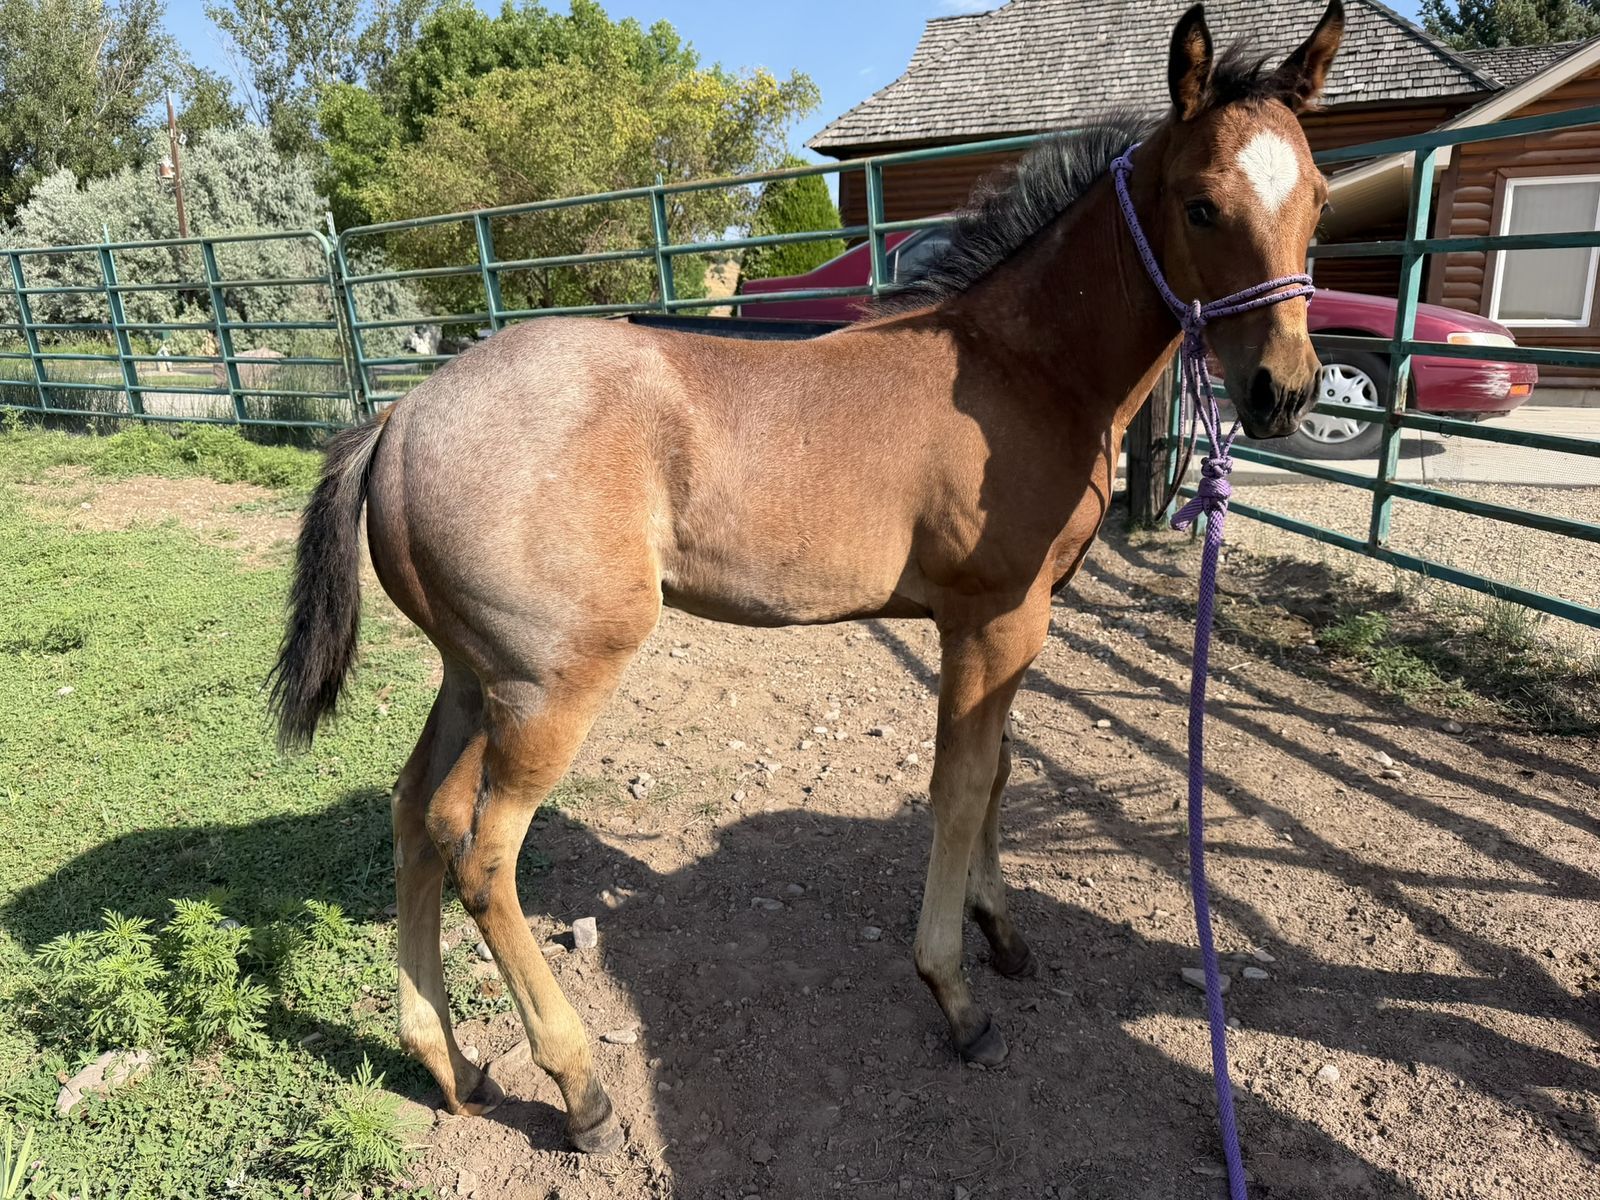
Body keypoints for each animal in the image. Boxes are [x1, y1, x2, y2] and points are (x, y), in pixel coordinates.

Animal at [270, 1, 1343, 1156]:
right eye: (1201, 204)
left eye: (1320, 199)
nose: (1282, 391)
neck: (1018, 369)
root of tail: (399, 417)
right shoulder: (992, 622)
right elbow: (960, 785)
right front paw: (955, 993)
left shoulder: (1014, 625)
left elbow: (1001, 773)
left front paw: (1002, 931)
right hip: (551, 685)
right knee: (482, 856)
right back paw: (580, 1090)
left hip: (474, 679)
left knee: (414, 817)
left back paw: (450, 1061)